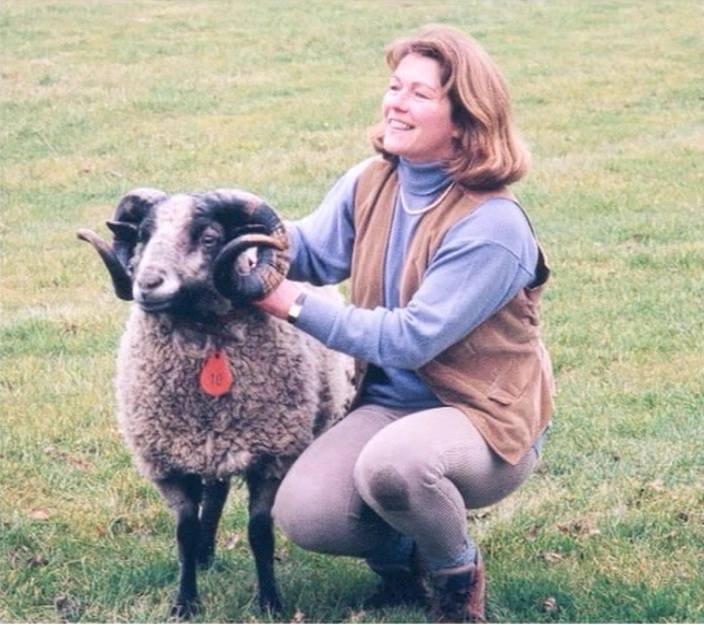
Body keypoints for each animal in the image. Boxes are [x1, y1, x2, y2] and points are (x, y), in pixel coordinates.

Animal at [77, 188, 355, 618]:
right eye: (143, 235)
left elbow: (259, 533)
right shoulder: (170, 463)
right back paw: (206, 555)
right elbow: (185, 532)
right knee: (215, 496)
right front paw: (185, 603)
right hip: (209, 448)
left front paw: (270, 602)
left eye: (209, 238)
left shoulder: (271, 458)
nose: (146, 284)